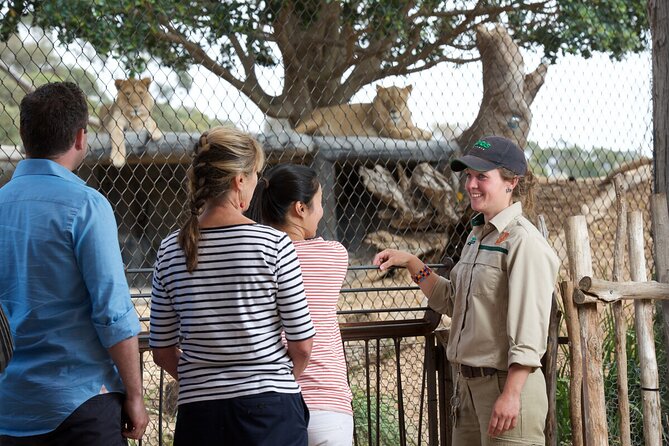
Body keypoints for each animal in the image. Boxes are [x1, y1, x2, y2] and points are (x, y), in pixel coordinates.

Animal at [294, 83, 430, 139]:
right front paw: (413, 134)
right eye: (386, 102)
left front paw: (424, 133)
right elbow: (403, 132)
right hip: (314, 120)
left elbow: (424, 131)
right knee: (296, 130)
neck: (399, 121)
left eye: (400, 101)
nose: (393, 111)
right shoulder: (386, 130)